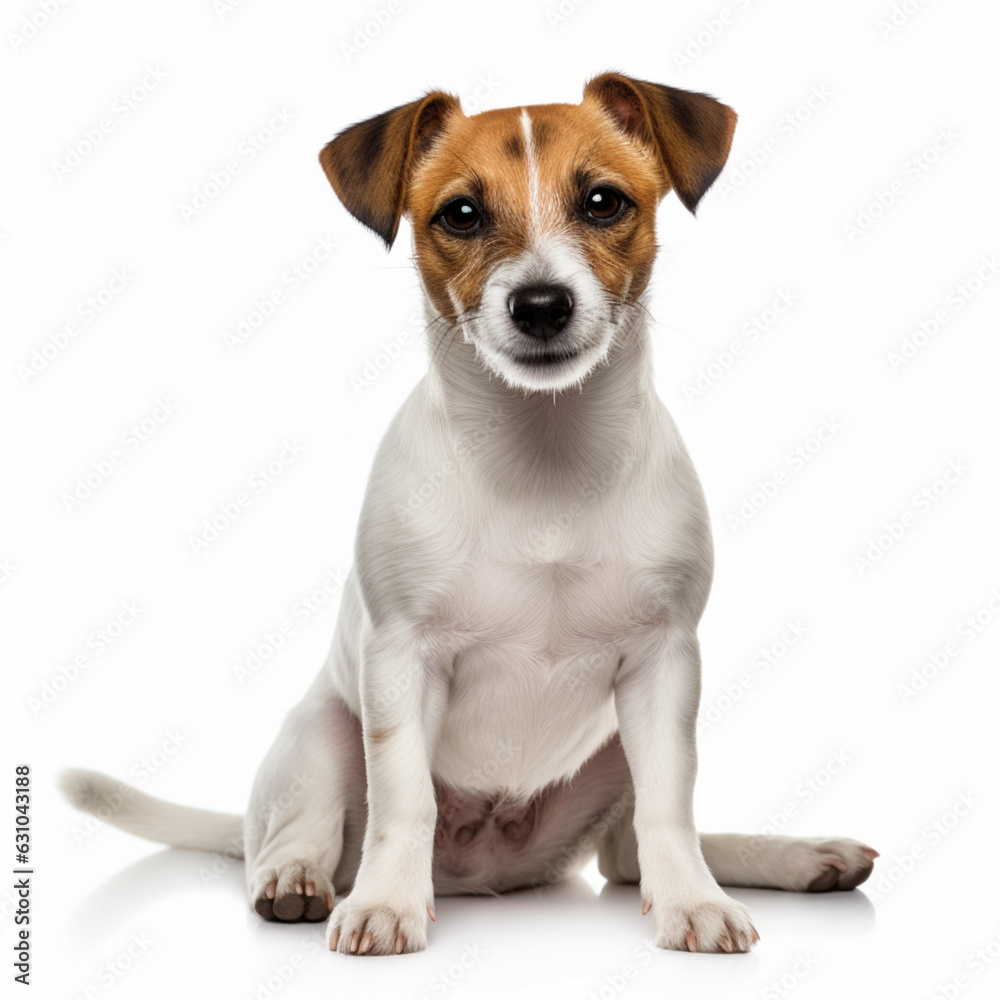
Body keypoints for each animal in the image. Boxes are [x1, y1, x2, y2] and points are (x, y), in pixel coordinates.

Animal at [60, 72, 876, 952]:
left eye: (603, 201)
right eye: (460, 214)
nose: (542, 304)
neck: (543, 450)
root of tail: (480, 868)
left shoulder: (665, 666)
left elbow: (670, 806)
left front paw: (694, 902)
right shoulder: (399, 662)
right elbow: (404, 798)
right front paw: (384, 905)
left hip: (614, 752)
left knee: (632, 855)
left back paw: (794, 858)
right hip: (321, 733)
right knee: (296, 831)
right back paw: (299, 881)